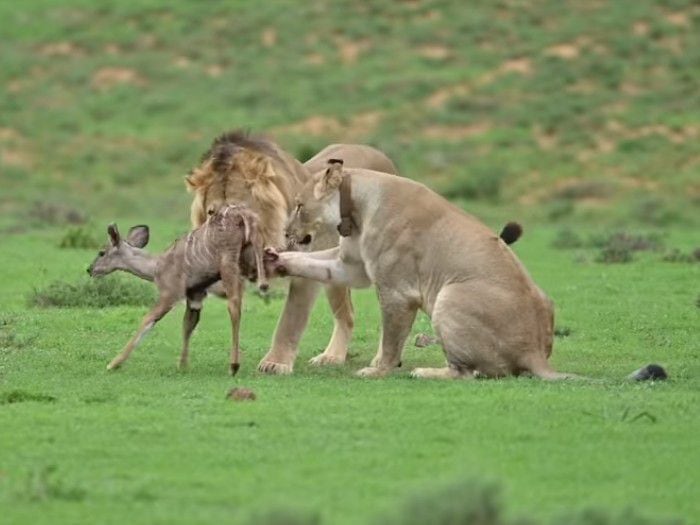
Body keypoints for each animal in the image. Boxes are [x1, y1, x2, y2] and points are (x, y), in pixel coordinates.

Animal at [87, 205, 268, 372]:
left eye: (102, 252)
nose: (90, 269)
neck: (156, 267)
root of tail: (242, 215)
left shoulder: (170, 294)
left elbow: (147, 320)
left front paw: (113, 363)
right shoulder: (195, 295)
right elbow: (188, 325)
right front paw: (182, 365)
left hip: (228, 263)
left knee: (234, 305)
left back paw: (234, 365)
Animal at [185, 133, 400, 374]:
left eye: (238, 211)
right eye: (211, 213)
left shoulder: (306, 266)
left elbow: (291, 318)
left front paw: (275, 362)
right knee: (347, 314)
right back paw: (332, 356)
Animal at [266, 162, 568, 378]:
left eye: (299, 206)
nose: (286, 232)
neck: (354, 212)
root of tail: (534, 352)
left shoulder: (397, 291)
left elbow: (390, 338)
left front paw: (378, 370)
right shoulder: (352, 266)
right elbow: (312, 262)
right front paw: (276, 259)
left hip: (450, 295)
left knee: (466, 373)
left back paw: (423, 372)